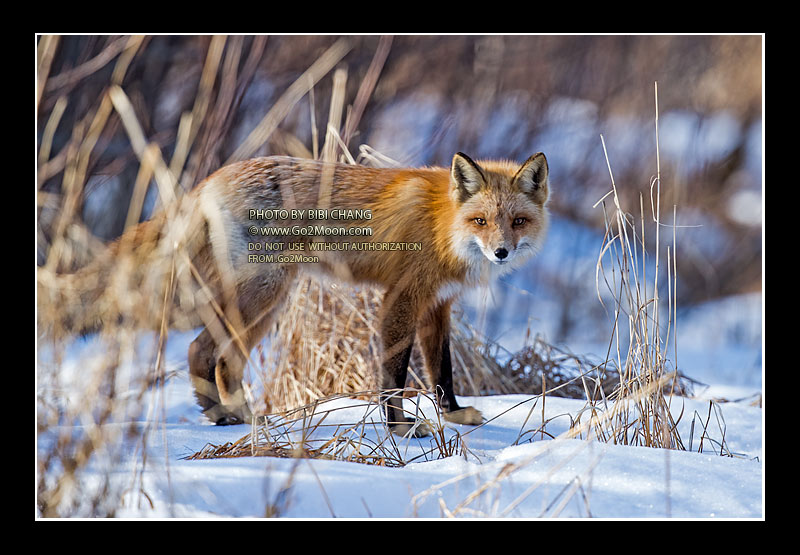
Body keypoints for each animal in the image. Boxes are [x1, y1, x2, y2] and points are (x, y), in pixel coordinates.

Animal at [39, 153, 552, 438]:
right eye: (480, 221)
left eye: (517, 222)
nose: (501, 253)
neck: (443, 224)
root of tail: (212, 179)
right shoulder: (400, 300)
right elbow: (393, 376)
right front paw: (401, 429)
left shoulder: (437, 305)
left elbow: (440, 369)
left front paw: (454, 413)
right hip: (264, 293)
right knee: (212, 354)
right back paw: (239, 416)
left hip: (262, 303)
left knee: (208, 354)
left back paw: (229, 414)